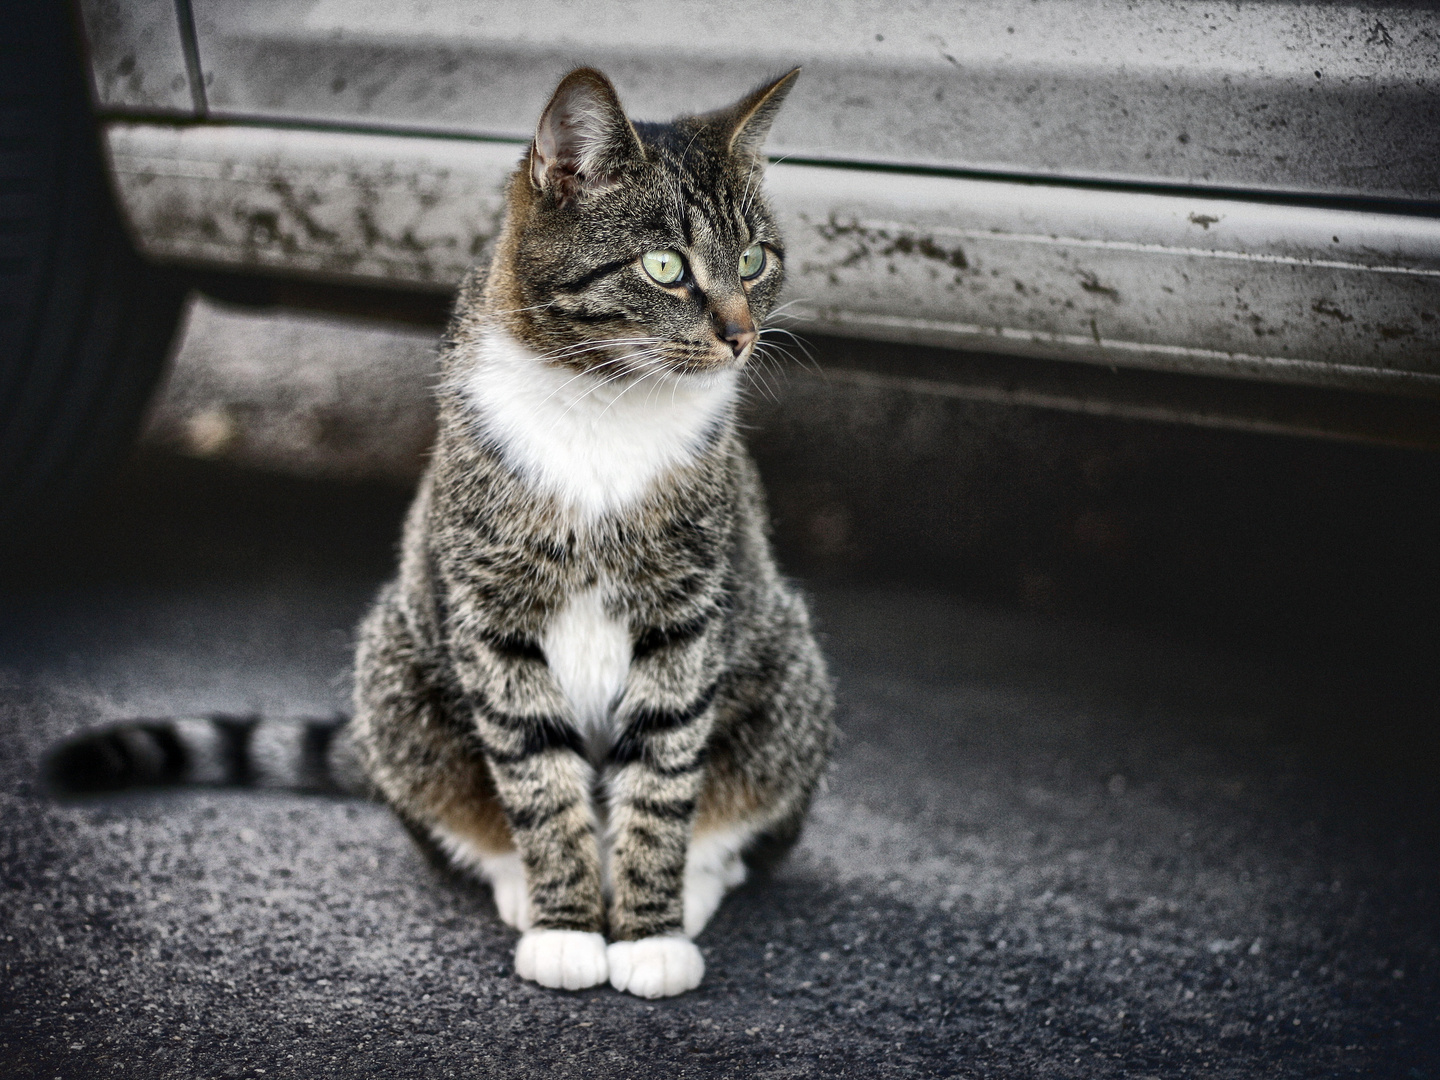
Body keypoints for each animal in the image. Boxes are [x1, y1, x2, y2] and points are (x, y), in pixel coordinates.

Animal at [42, 65, 835, 996]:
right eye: (665, 267)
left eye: (754, 260)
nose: (742, 336)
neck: (604, 405)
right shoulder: (492, 619)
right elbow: (538, 782)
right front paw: (568, 926)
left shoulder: (684, 615)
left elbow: (663, 779)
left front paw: (649, 935)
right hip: (396, 672)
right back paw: (524, 888)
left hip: (785, 670)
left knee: (733, 821)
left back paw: (693, 884)